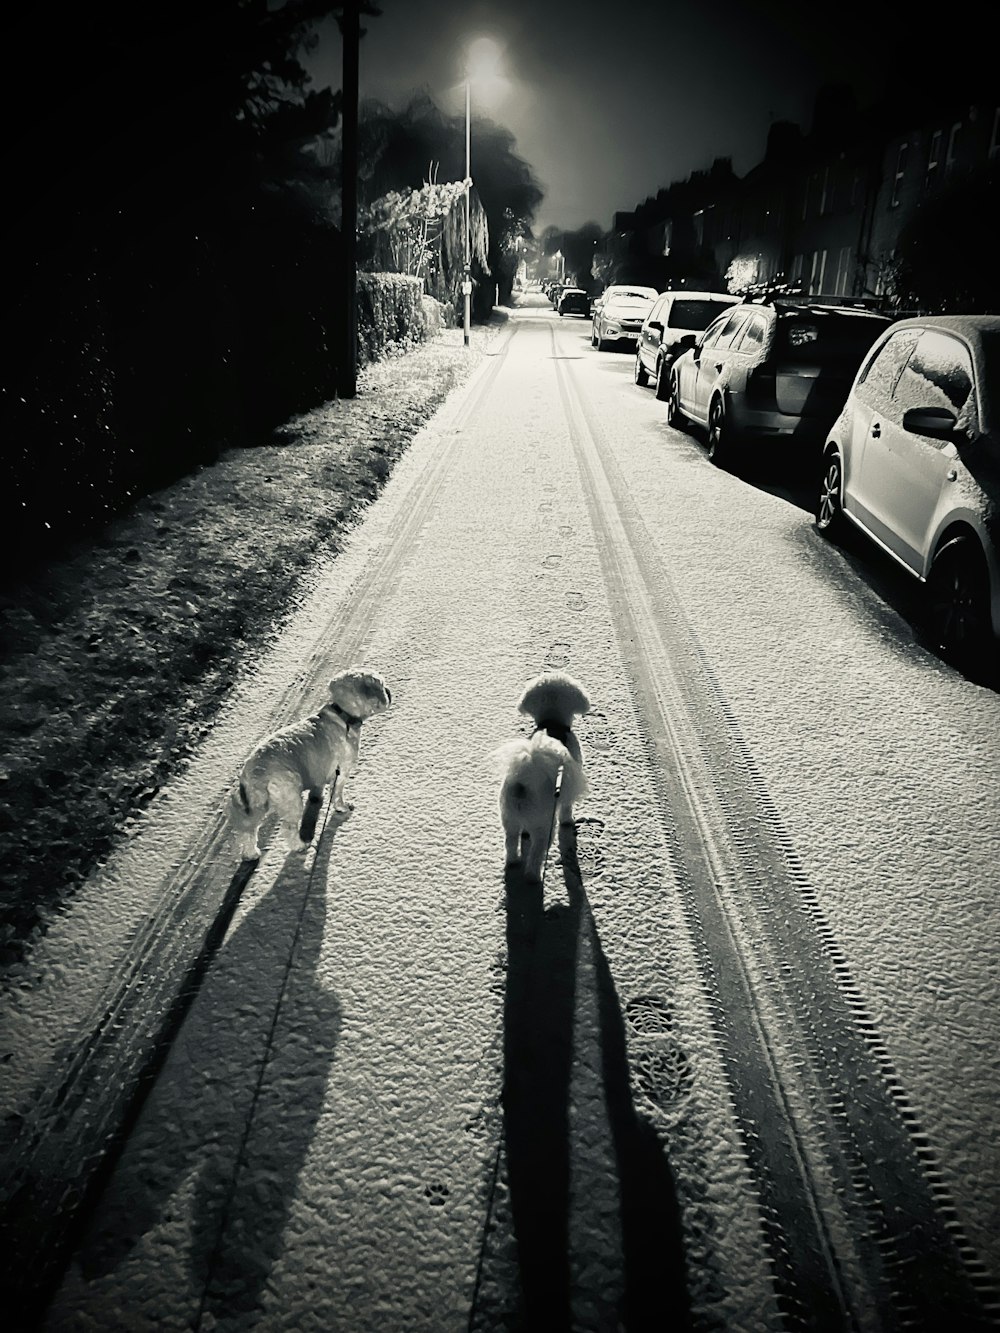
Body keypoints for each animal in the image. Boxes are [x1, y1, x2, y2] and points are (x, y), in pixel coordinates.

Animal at [230, 666, 392, 863]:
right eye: (382, 686)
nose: (389, 692)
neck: (343, 714)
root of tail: (256, 771)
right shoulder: (342, 772)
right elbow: (337, 794)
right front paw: (342, 807)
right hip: (289, 796)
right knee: (287, 827)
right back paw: (299, 846)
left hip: (257, 804)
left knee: (249, 829)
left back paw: (251, 853)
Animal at [498, 671, 592, 879]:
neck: (552, 723)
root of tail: (523, 785)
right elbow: (567, 807)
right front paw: (568, 821)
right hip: (544, 826)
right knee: (536, 853)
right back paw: (533, 876)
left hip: (510, 818)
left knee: (511, 843)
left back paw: (513, 862)